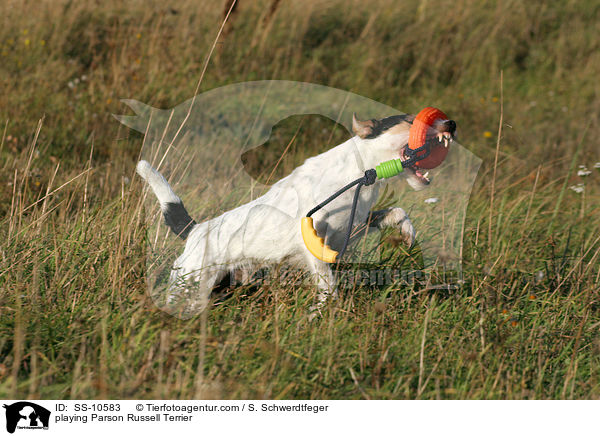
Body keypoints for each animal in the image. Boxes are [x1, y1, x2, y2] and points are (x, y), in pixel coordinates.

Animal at [137, 112, 454, 314]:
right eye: (410, 120)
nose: (451, 123)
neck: (359, 171)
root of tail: (195, 230)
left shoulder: (354, 226)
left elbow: (397, 212)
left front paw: (407, 234)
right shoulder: (314, 240)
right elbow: (328, 286)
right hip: (189, 287)